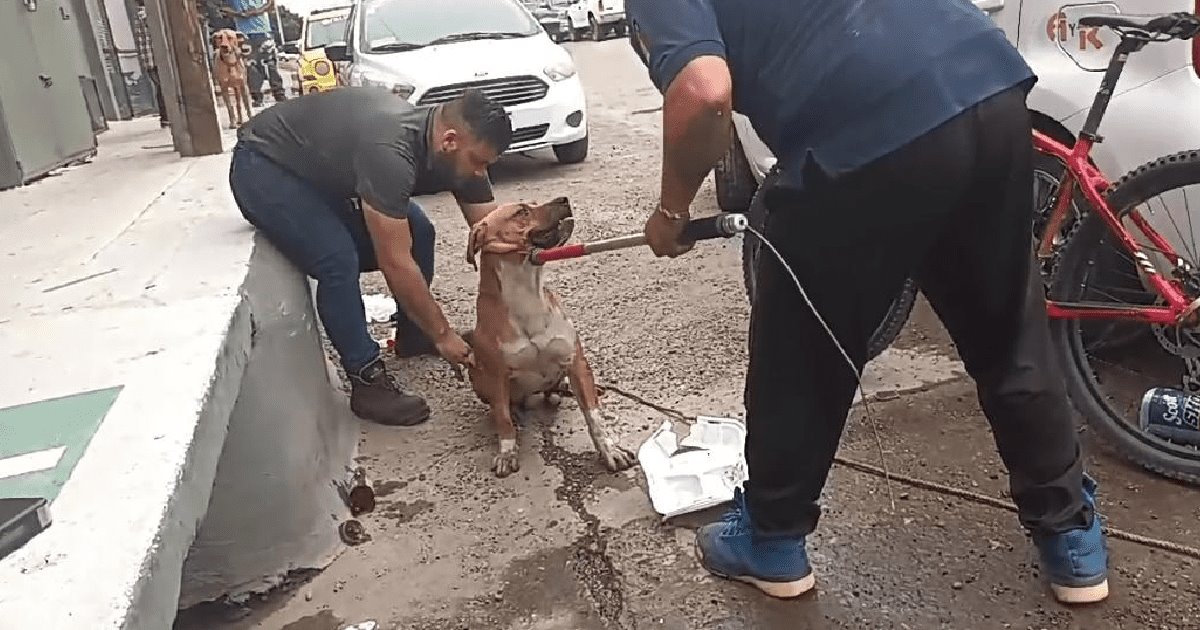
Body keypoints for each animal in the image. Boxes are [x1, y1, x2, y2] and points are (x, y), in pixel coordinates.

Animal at [463, 196, 643, 477]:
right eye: (522, 212)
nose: (564, 199)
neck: (527, 293)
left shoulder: (575, 361)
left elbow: (594, 417)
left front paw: (609, 450)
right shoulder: (495, 375)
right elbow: (503, 419)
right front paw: (507, 451)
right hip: (476, 372)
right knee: (503, 405)